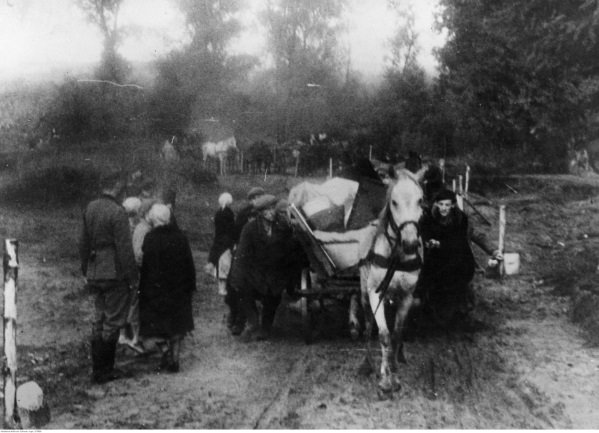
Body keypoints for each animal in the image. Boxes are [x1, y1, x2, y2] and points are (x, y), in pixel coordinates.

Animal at [358, 169, 424, 394]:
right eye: (394, 202)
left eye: (421, 200)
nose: (410, 243)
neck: (396, 256)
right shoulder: (375, 293)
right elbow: (383, 334)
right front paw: (385, 382)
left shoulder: (406, 296)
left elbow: (395, 336)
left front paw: (393, 374)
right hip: (364, 292)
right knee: (369, 324)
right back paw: (368, 364)